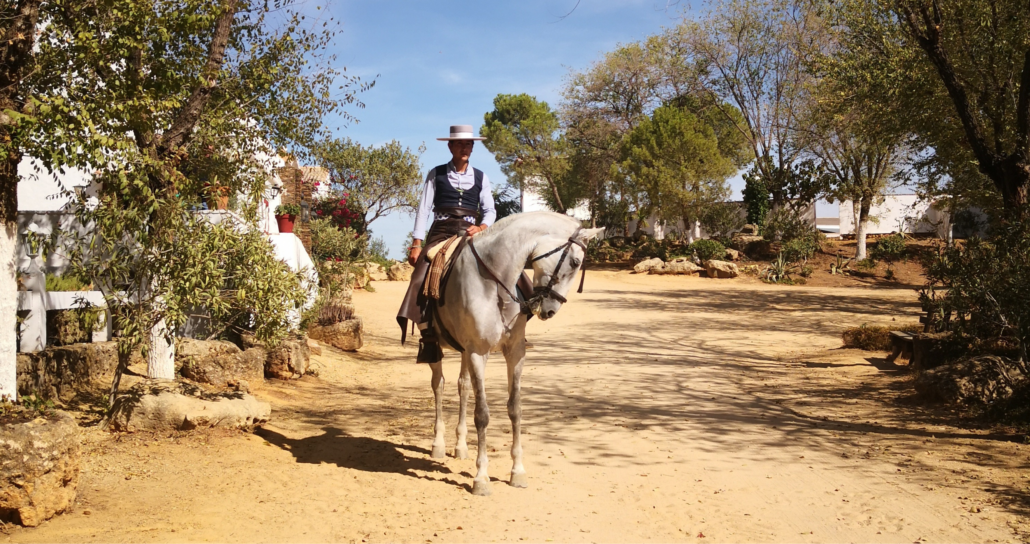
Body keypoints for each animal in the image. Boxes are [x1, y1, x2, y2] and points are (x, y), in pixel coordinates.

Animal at [424, 211, 604, 496]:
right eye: (575, 261)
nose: (550, 310)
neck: (496, 284)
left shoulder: (514, 353)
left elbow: (515, 409)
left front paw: (518, 471)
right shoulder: (478, 353)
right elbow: (482, 415)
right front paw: (481, 478)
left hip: (463, 351)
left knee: (463, 386)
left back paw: (460, 446)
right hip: (435, 346)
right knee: (438, 385)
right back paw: (438, 444)